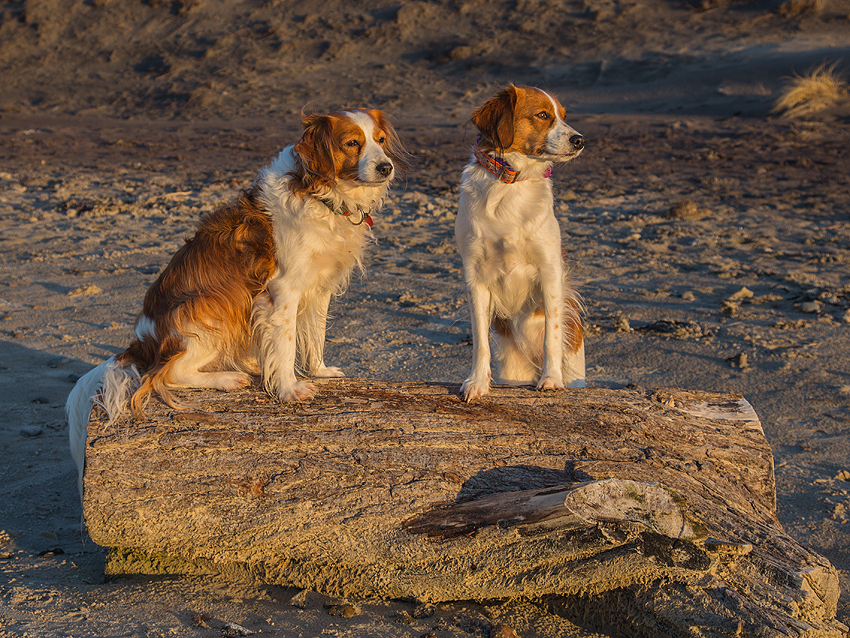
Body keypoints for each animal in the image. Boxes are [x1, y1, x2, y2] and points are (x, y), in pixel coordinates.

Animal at [68, 109, 406, 490]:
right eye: (352, 143)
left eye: (380, 140)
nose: (386, 167)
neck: (319, 192)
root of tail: (142, 341)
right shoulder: (283, 290)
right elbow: (287, 344)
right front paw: (289, 389)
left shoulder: (318, 288)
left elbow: (314, 337)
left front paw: (320, 372)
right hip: (211, 309)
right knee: (164, 375)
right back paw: (227, 378)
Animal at [454, 87, 588, 402]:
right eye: (542, 114)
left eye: (564, 115)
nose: (580, 140)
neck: (510, 185)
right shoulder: (476, 277)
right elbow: (480, 340)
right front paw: (477, 382)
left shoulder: (550, 271)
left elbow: (552, 334)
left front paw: (551, 379)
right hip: (513, 369)